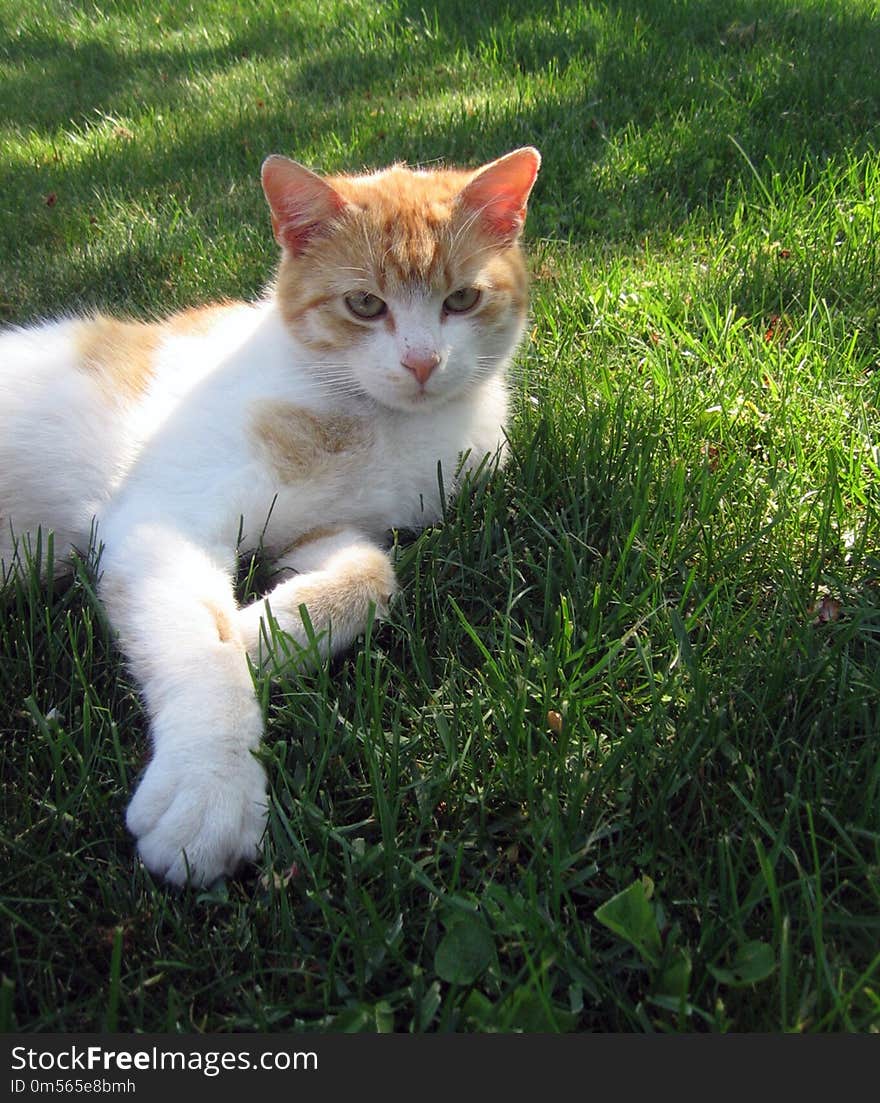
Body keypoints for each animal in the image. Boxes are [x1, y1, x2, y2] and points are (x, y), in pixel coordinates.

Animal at [0, 146, 540, 886]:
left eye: (461, 299)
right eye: (364, 304)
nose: (422, 362)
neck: (375, 422)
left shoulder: (327, 533)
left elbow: (371, 580)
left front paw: (258, 634)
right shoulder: (159, 520)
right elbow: (202, 643)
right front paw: (209, 784)